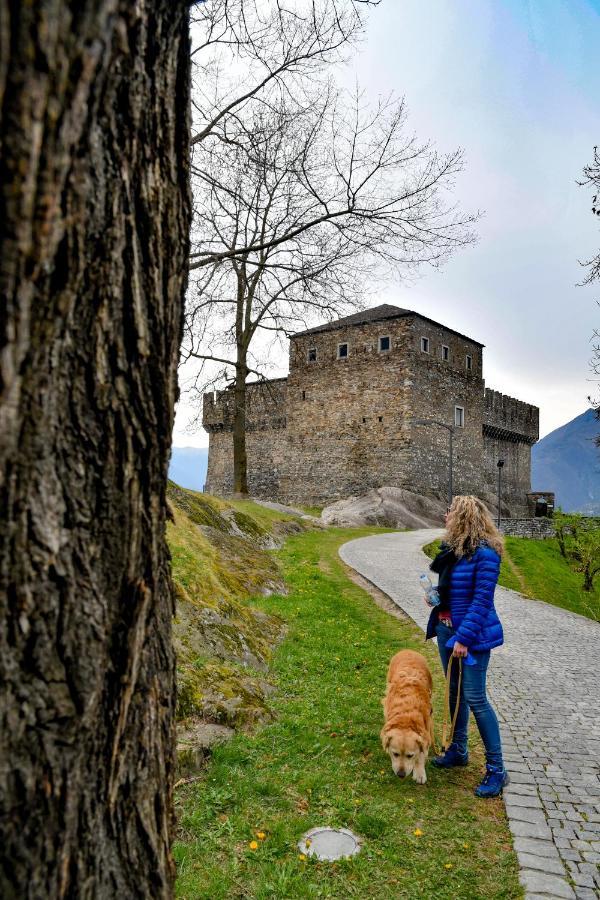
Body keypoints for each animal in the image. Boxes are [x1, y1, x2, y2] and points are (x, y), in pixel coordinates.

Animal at [382, 652, 434, 784]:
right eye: (395, 754)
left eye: (410, 756)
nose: (401, 774)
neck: (406, 716)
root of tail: (408, 650)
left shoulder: (426, 727)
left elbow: (421, 753)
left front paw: (420, 772)